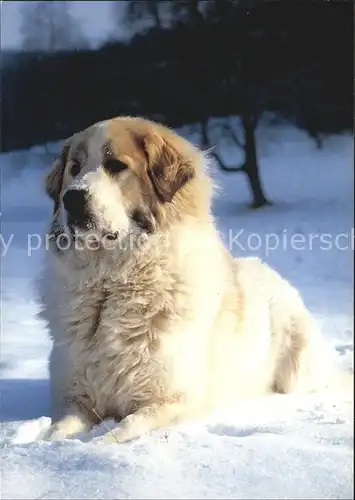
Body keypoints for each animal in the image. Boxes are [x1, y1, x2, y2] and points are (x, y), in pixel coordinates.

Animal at [38, 115, 348, 444]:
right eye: (75, 167)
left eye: (116, 165)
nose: (72, 198)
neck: (110, 282)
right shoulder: (74, 397)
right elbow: (58, 429)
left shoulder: (173, 400)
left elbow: (123, 430)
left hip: (296, 367)